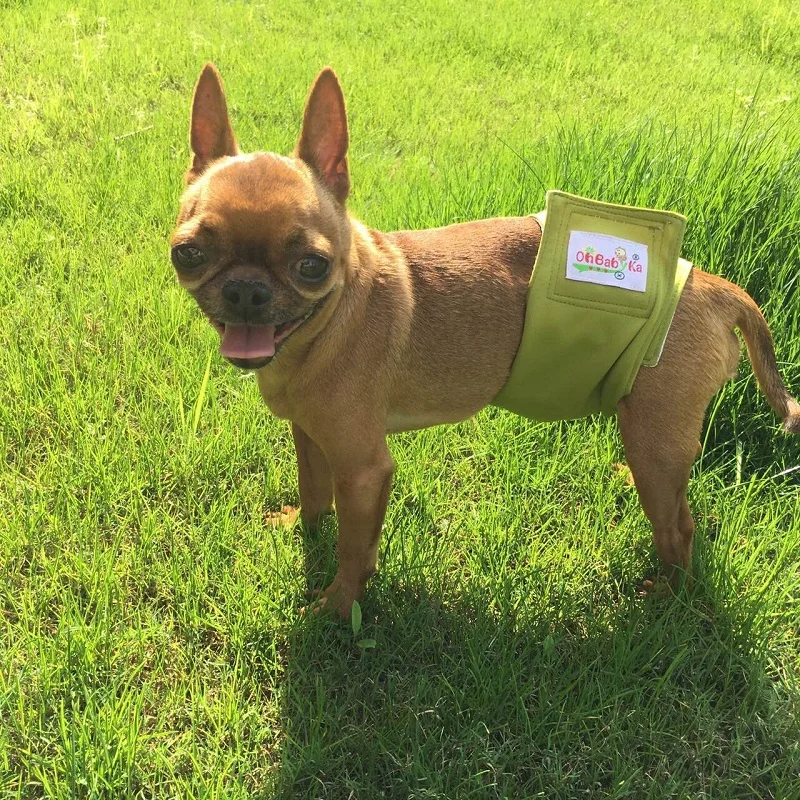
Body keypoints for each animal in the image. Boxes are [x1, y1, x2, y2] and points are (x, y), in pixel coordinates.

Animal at [170, 65, 800, 616]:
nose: (246, 290)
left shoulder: (363, 468)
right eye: (188, 253)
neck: (329, 319)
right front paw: (302, 531)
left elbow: (353, 549)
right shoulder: (312, 437)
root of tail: (715, 287)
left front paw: (337, 606)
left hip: (656, 443)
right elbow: (314, 495)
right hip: (655, 438)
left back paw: (666, 597)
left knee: (679, 531)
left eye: (311, 265)